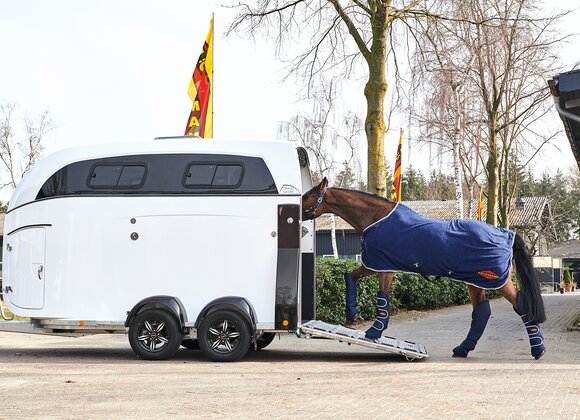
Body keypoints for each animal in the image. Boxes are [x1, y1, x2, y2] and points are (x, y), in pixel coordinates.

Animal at [302, 179, 548, 360]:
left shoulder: (383, 266)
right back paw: (462, 349)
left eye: (307, 196)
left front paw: (373, 331)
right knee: (482, 312)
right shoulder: (377, 264)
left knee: (520, 304)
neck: (376, 218)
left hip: (495, 279)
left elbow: (382, 298)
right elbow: (349, 276)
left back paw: (538, 349)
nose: (296, 210)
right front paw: (353, 312)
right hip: (474, 281)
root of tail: (508, 233)